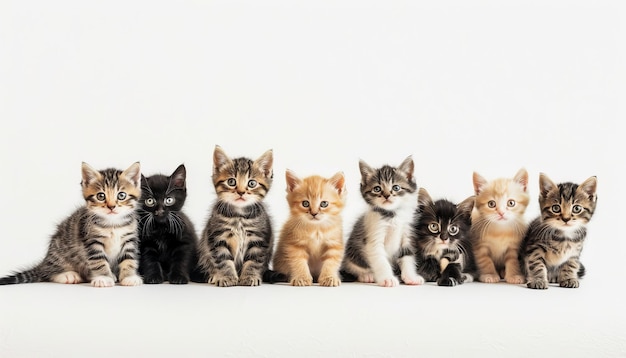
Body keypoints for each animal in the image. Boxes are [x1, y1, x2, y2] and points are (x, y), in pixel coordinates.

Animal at [0, 162, 143, 288]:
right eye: (101, 196)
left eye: (121, 195)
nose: (111, 207)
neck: (113, 224)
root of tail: (45, 261)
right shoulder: (91, 241)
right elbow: (98, 261)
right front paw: (103, 278)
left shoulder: (129, 239)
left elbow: (129, 259)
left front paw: (129, 277)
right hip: (59, 252)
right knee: (48, 273)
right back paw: (67, 275)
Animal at [195, 145, 272, 288]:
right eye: (231, 181)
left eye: (252, 183)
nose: (241, 192)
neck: (239, 215)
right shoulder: (217, 237)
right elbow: (222, 259)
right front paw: (227, 277)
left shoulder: (258, 239)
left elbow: (254, 260)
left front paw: (249, 277)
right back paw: (214, 276)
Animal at [338, 155, 422, 286]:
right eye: (377, 189)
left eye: (396, 187)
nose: (387, 195)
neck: (392, 215)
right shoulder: (374, 236)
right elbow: (381, 261)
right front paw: (388, 279)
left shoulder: (406, 233)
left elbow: (407, 256)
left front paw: (411, 277)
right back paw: (367, 275)